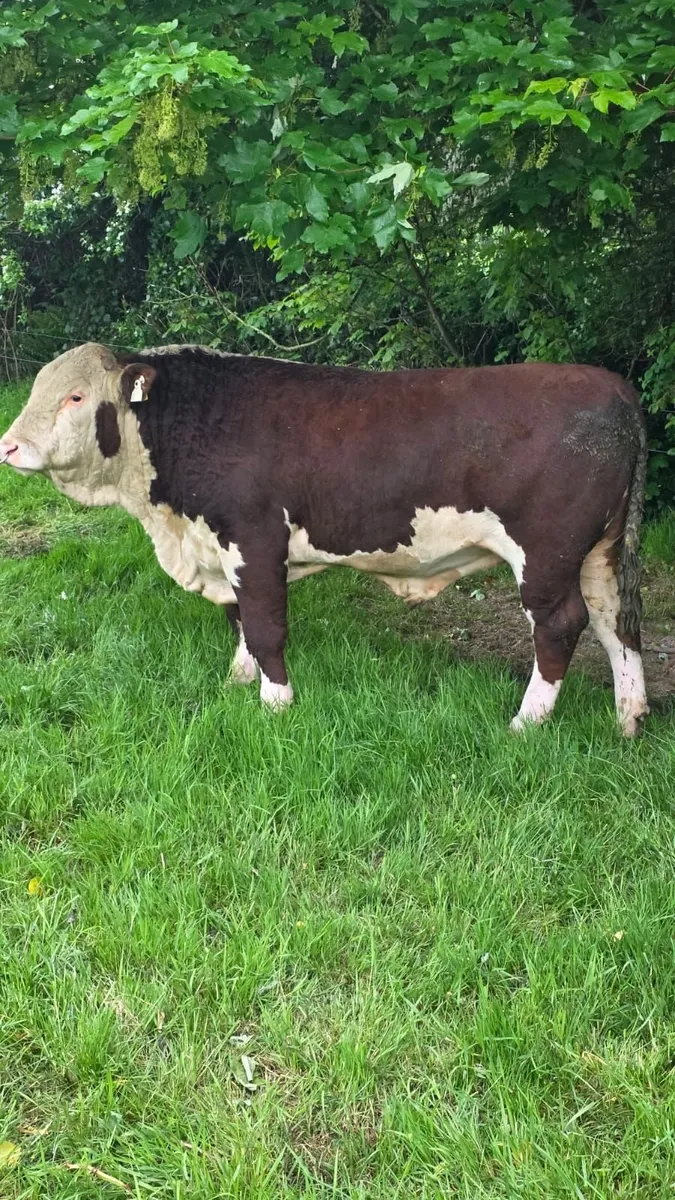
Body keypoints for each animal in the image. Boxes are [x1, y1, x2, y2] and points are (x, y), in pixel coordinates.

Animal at [0, 342, 649, 735]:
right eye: (36, 388)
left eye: (76, 395)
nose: (9, 445)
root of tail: (614, 387)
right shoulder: (223, 546)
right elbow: (241, 619)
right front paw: (237, 682)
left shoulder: (255, 537)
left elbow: (264, 623)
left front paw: (274, 704)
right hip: (599, 550)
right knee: (615, 620)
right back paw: (629, 718)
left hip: (545, 554)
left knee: (561, 624)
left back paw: (526, 723)